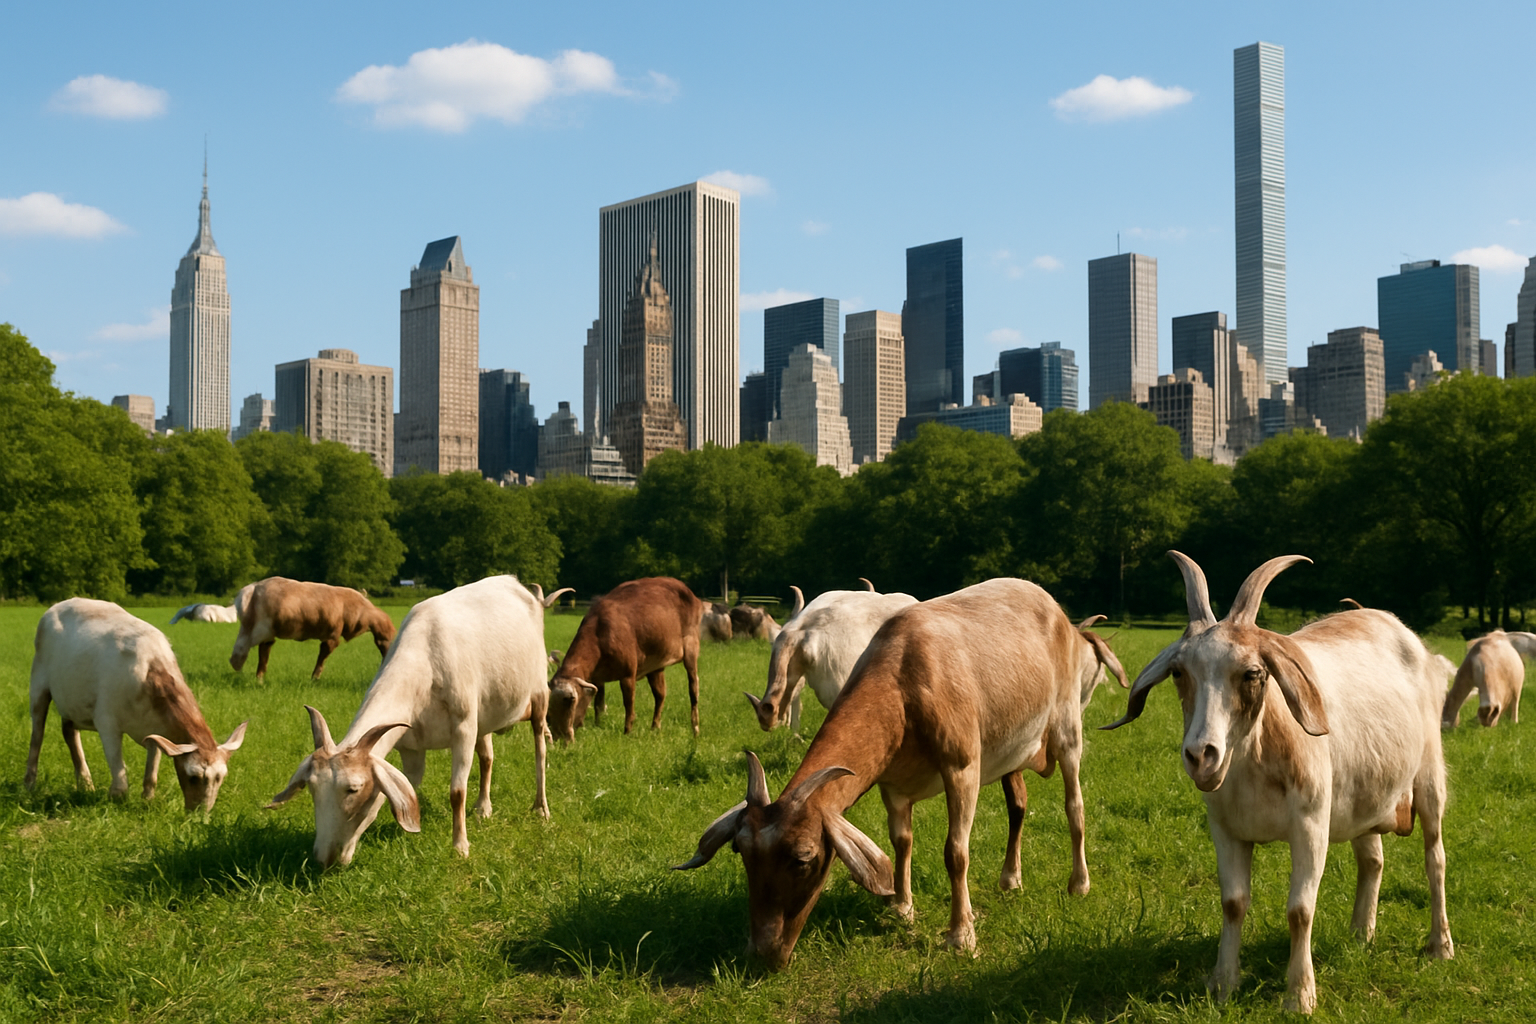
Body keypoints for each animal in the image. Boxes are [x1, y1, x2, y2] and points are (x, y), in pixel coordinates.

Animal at [26, 598, 246, 810]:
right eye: (193, 777)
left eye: (220, 778)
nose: (200, 814)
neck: (150, 673)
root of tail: (58, 605)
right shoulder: (107, 723)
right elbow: (120, 776)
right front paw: (116, 801)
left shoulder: (156, 731)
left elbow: (152, 774)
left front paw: (147, 799)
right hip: (38, 684)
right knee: (38, 733)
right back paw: (29, 784)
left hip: (72, 702)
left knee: (69, 732)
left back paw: (86, 784)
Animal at [230, 577, 395, 681]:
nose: (386, 665)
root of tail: (252, 588)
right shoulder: (332, 635)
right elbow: (322, 657)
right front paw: (314, 679)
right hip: (260, 628)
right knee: (242, 652)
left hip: (258, 629)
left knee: (256, 650)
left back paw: (257, 678)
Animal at [266, 576, 570, 865]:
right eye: (311, 788)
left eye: (353, 788)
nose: (324, 859)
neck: (426, 663)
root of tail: (518, 585)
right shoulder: (411, 746)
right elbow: (408, 785)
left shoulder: (463, 728)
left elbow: (456, 792)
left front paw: (460, 848)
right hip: (484, 713)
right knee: (487, 757)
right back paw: (483, 808)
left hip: (537, 694)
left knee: (539, 749)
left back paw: (541, 809)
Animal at [547, 577, 705, 739]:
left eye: (570, 700)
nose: (559, 735)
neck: (600, 633)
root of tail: (691, 594)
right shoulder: (598, 677)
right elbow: (598, 704)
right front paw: (598, 725)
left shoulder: (628, 674)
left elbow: (629, 705)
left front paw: (627, 732)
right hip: (656, 665)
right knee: (660, 695)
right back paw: (655, 728)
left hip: (691, 647)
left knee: (693, 688)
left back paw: (695, 729)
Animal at [1103, 552, 1454, 1014]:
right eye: (1178, 672)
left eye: (1253, 672)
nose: (1201, 756)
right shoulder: (1226, 829)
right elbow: (1233, 902)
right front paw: (1222, 984)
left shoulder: (1311, 824)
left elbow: (1300, 910)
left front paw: (1300, 996)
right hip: (1363, 794)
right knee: (1372, 860)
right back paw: (1360, 934)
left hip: (1428, 776)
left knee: (1435, 858)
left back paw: (1439, 946)